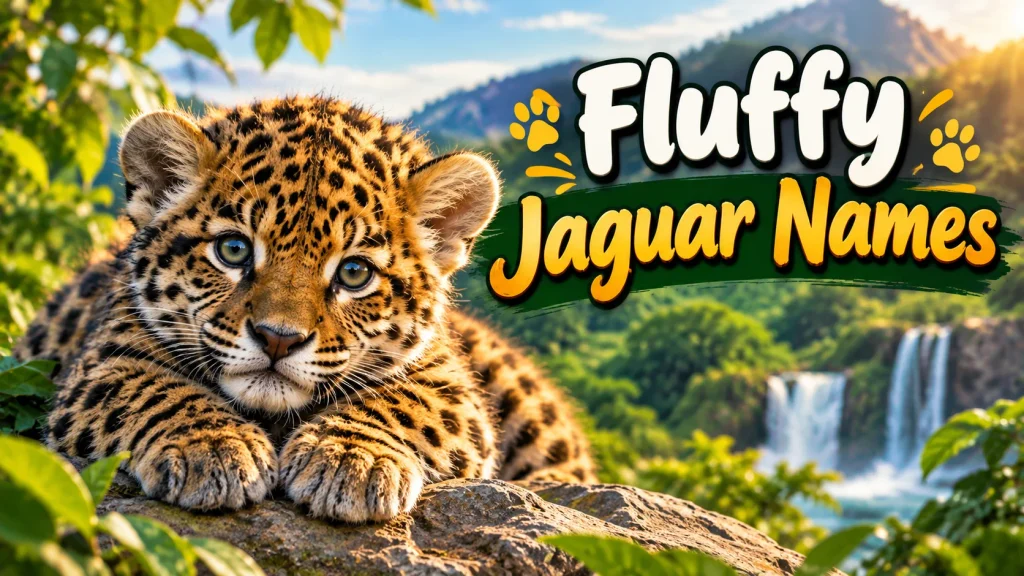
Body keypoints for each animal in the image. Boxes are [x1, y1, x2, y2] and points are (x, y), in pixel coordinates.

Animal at [14, 95, 596, 522]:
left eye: (355, 273)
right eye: (233, 250)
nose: (278, 338)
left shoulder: (452, 388)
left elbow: (404, 402)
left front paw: (352, 461)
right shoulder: (102, 360)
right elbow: (150, 387)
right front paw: (215, 448)